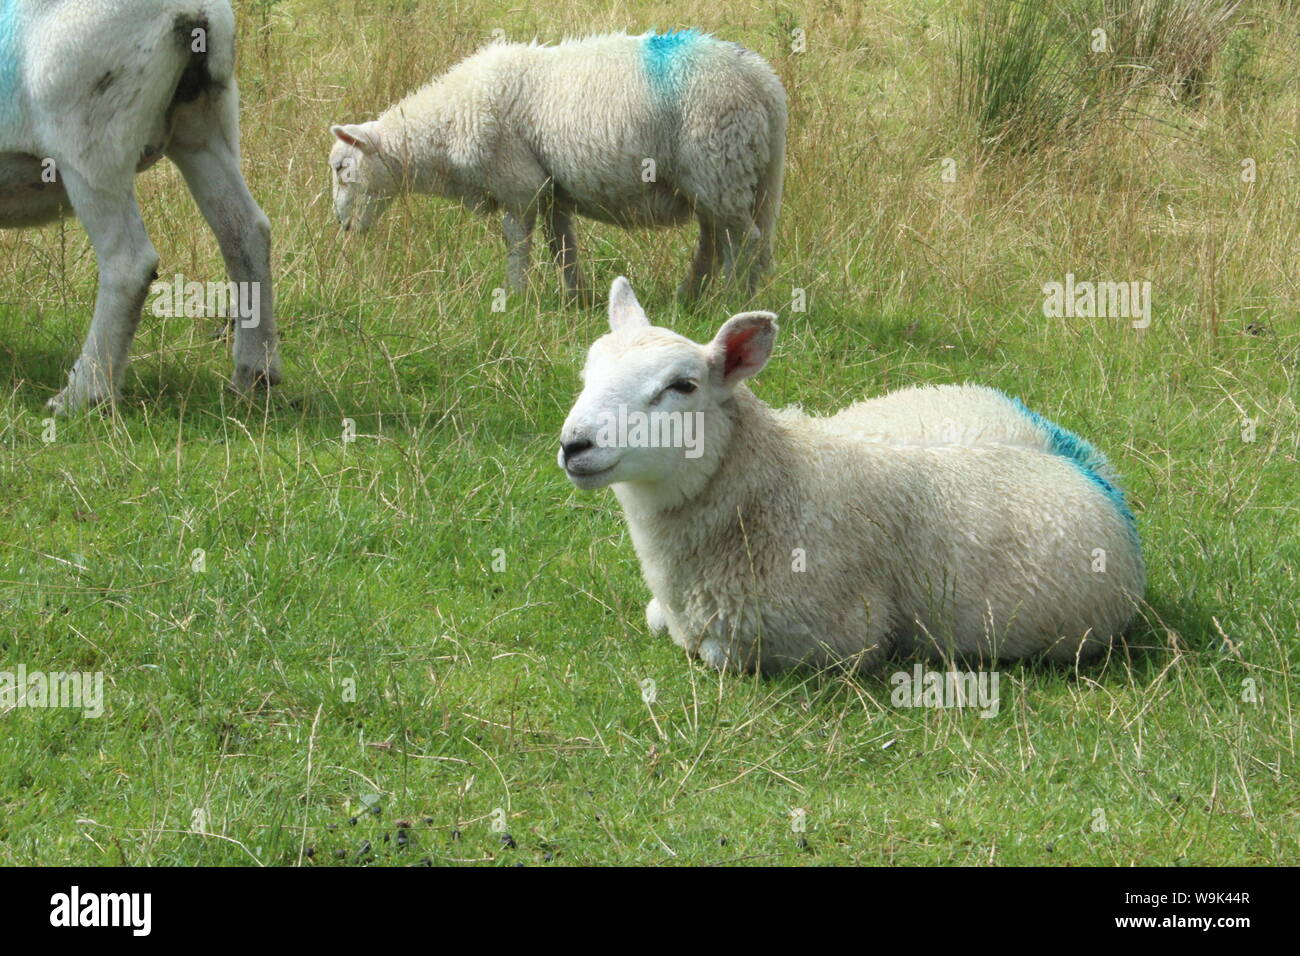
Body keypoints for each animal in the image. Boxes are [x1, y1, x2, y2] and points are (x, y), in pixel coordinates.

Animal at [0, 0, 280, 412]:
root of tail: (194, 10)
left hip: (92, 142)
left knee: (129, 263)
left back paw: (83, 393)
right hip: (204, 123)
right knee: (246, 232)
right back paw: (255, 373)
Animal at [328, 30, 787, 300]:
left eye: (341, 168)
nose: (342, 227)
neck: (446, 123)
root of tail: (764, 80)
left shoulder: (519, 183)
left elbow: (517, 242)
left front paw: (515, 297)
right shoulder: (553, 190)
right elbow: (562, 246)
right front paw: (577, 299)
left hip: (719, 166)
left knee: (745, 242)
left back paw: (730, 302)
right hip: (723, 179)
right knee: (723, 241)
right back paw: (695, 298)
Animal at [558, 277, 1146, 675]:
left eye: (682, 385)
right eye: (586, 372)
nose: (573, 445)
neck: (777, 480)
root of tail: (1083, 458)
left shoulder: (836, 638)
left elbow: (712, 652)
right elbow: (657, 618)